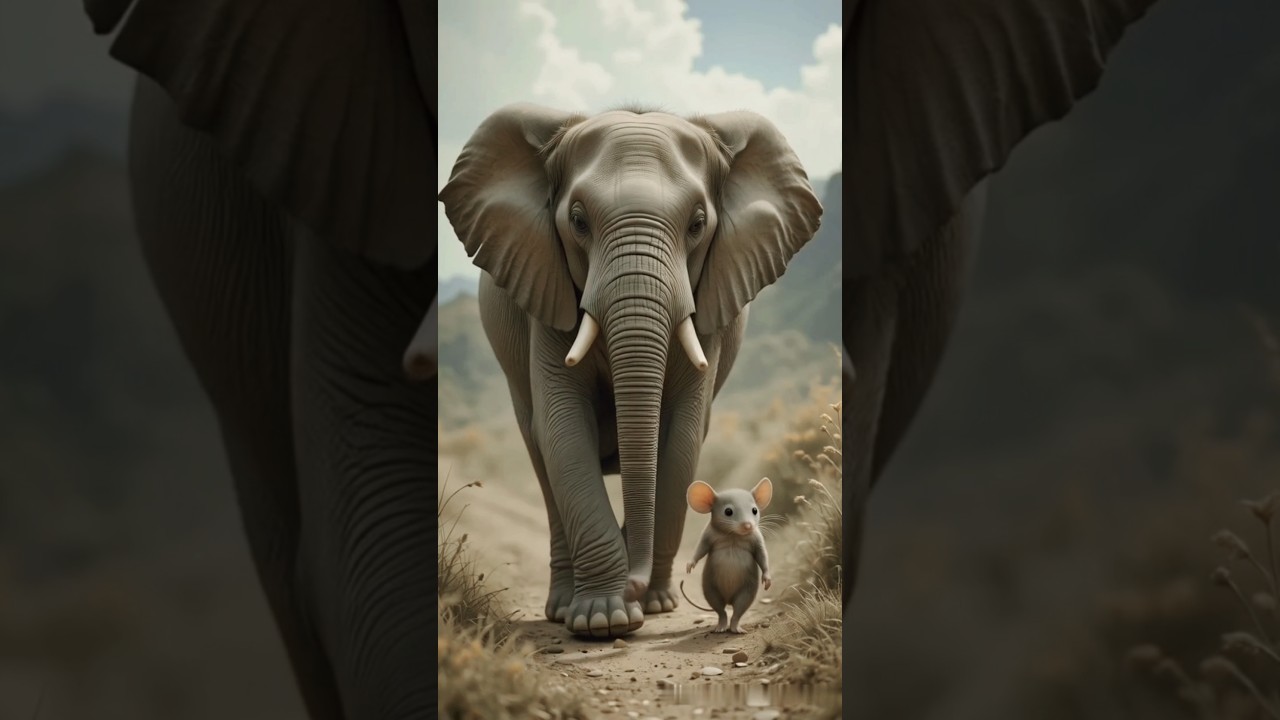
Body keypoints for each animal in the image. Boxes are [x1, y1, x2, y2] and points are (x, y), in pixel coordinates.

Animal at [439, 104, 822, 638]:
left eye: (697, 224)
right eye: (578, 221)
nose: (635, 588)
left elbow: (681, 438)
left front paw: (644, 606)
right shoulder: (545, 293)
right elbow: (563, 429)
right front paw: (604, 619)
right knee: (540, 452)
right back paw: (564, 606)